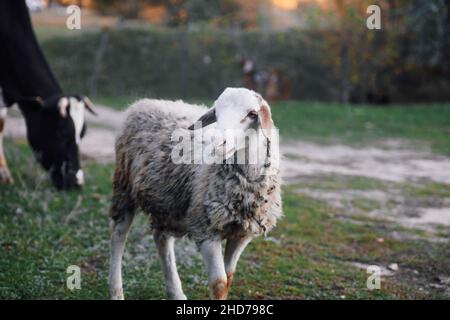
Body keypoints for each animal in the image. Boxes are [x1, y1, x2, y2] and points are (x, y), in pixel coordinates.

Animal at [110, 87, 282, 300]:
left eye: (252, 114)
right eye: (216, 112)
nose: (218, 144)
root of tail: (143, 102)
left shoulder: (242, 234)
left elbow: (229, 278)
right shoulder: (205, 229)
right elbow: (219, 283)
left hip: (167, 200)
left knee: (161, 238)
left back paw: (176, 292)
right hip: (124, 187)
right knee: (119, 236)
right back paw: (116, 291)